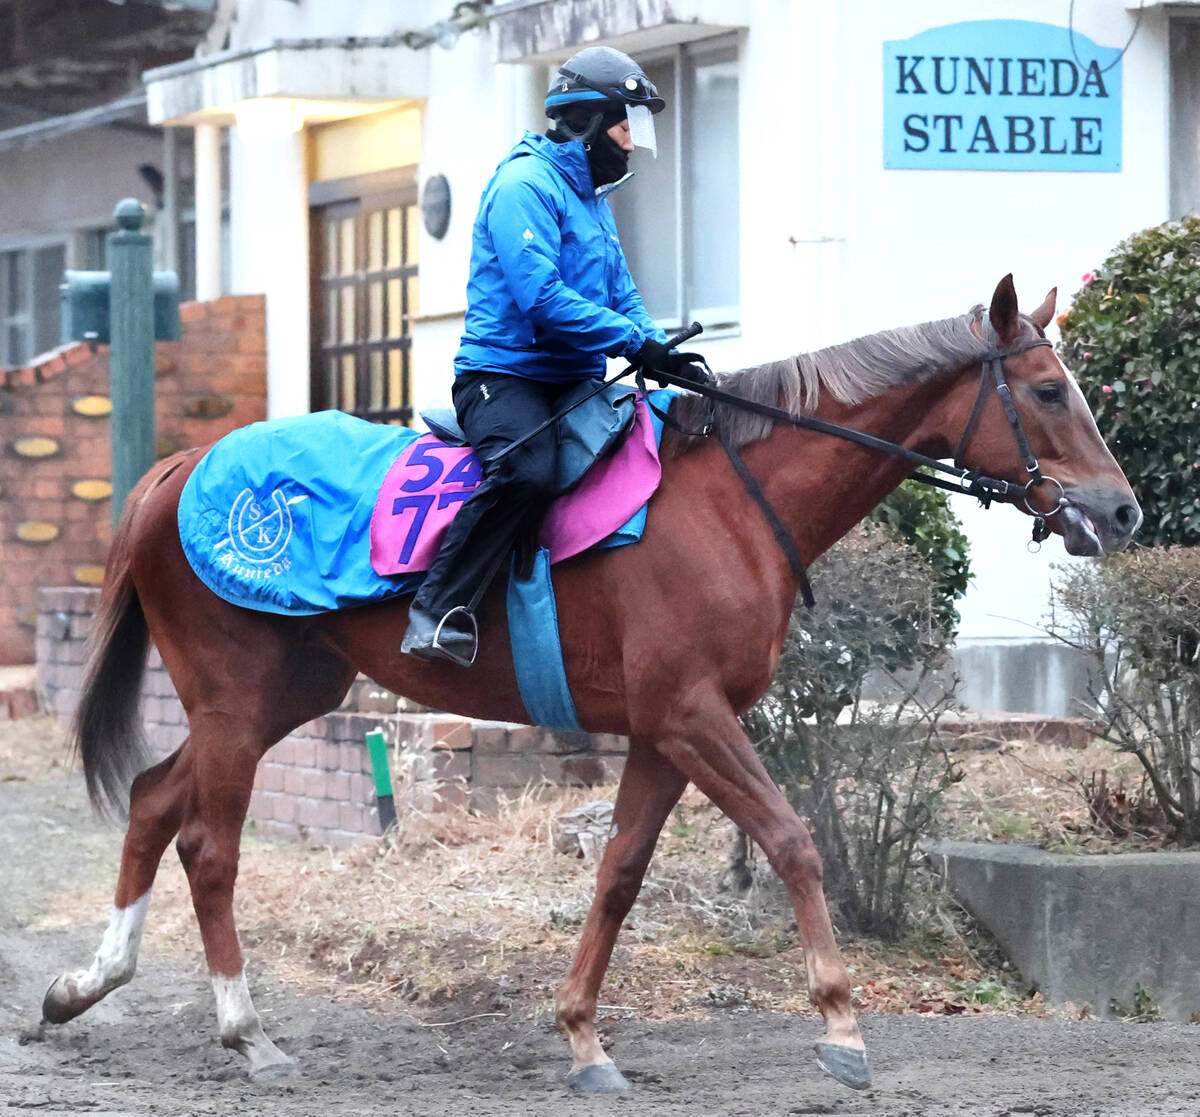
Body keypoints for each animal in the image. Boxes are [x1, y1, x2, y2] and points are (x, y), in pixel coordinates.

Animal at [41, 275, 1140, 1094]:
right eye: (1049, 389)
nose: (1122, 510)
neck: (732, 499)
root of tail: (179, 466)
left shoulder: (664, 729)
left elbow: (619, 871)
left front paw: (581, 1033)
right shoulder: (693, 714)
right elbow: (791, 839)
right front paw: (840, 1024)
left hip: (286, 692)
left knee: (153, 797)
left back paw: (87, 983)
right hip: (236, 696)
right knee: (209, 844)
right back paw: (245, 1028)